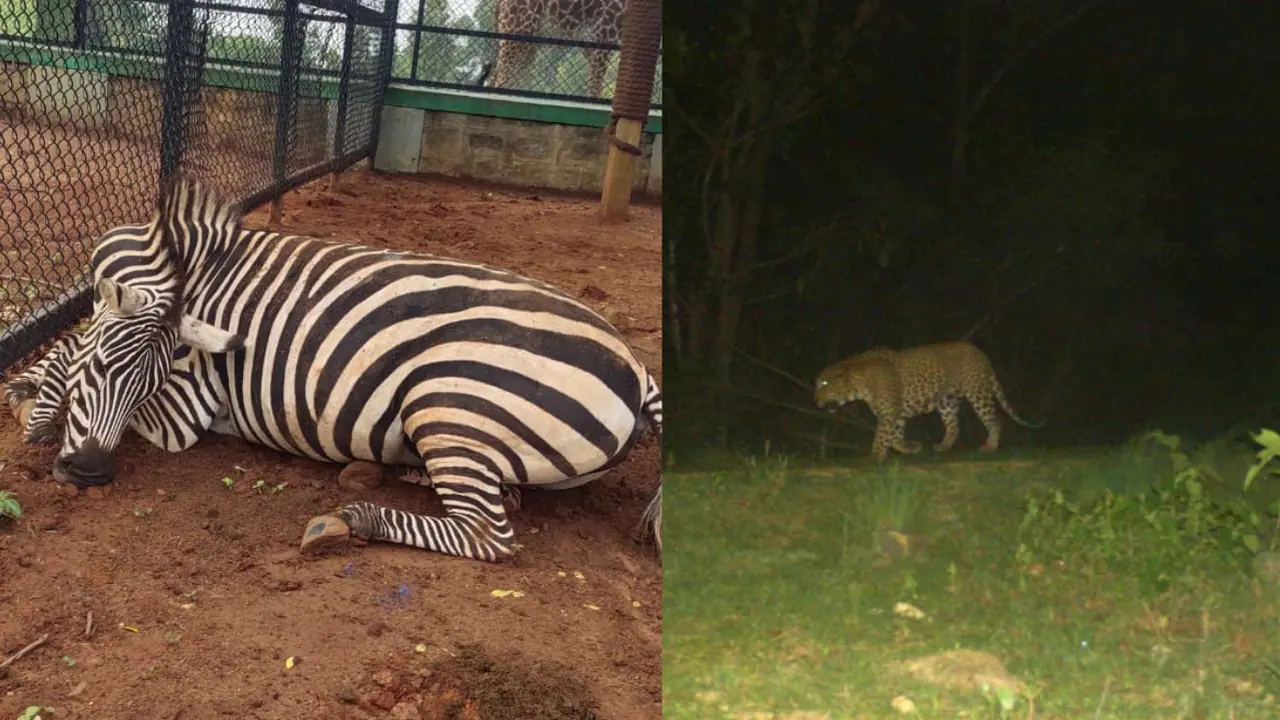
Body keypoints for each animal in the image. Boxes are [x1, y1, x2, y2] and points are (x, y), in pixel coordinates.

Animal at [3, 174, 663, 562]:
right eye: (106, 369)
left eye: (143, 382)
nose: (88, 475)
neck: (187, 267)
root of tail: (636, 364)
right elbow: (68, 345)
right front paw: (29, 389)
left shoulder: (187, 410)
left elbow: (68, 352)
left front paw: (32, 406)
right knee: (498, 499)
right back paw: (399, 472)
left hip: (452, 401)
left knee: (488, 536)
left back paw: (349, 521)